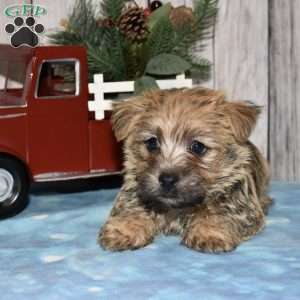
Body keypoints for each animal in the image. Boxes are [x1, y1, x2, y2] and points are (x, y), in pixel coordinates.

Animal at [98, 88, 272, 253]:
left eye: (197, 146)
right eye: (152, 143)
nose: (167, 179)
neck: (175, 209)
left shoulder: (242, 206)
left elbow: (221, 211)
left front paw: (209, 232)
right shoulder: (133, 192)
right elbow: (132, 209)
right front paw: (124, 230)